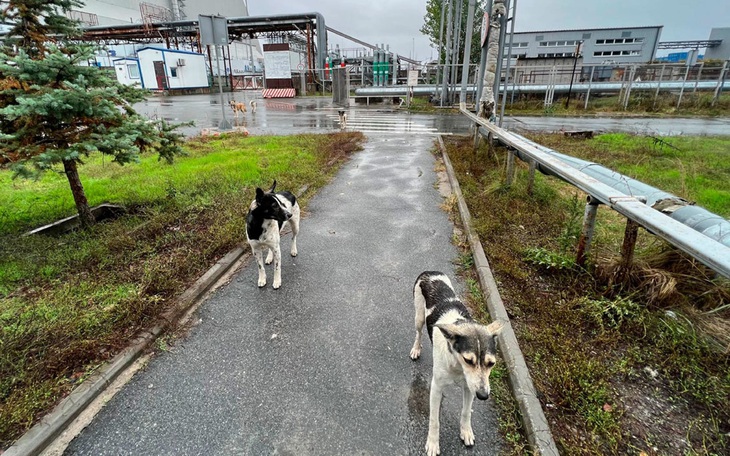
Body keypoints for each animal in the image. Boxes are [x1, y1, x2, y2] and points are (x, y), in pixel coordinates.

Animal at [406, 270, 504, 456]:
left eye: (491, 364)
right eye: (468, 360)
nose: (483, 396)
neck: (458, 366)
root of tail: (430, 272)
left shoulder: (470, 387)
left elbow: (466, 412)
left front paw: (466, 431)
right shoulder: (436, 387)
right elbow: (434, 420)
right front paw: (433, 443)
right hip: (419, 317)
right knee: (418, 333)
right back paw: (416, 348)